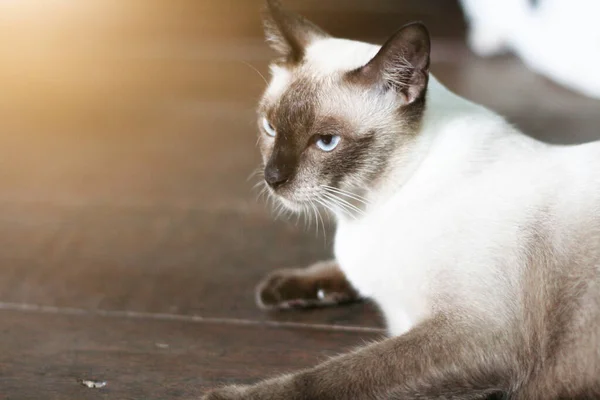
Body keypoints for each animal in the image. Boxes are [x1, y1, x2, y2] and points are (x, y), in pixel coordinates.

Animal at [203, 1, 600, 398]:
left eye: (326, 142)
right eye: (270, 127)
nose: (273, 179)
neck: (366, 209)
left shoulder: (472, 333)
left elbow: (326, 378)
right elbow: (338, 269)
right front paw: (280, 288)